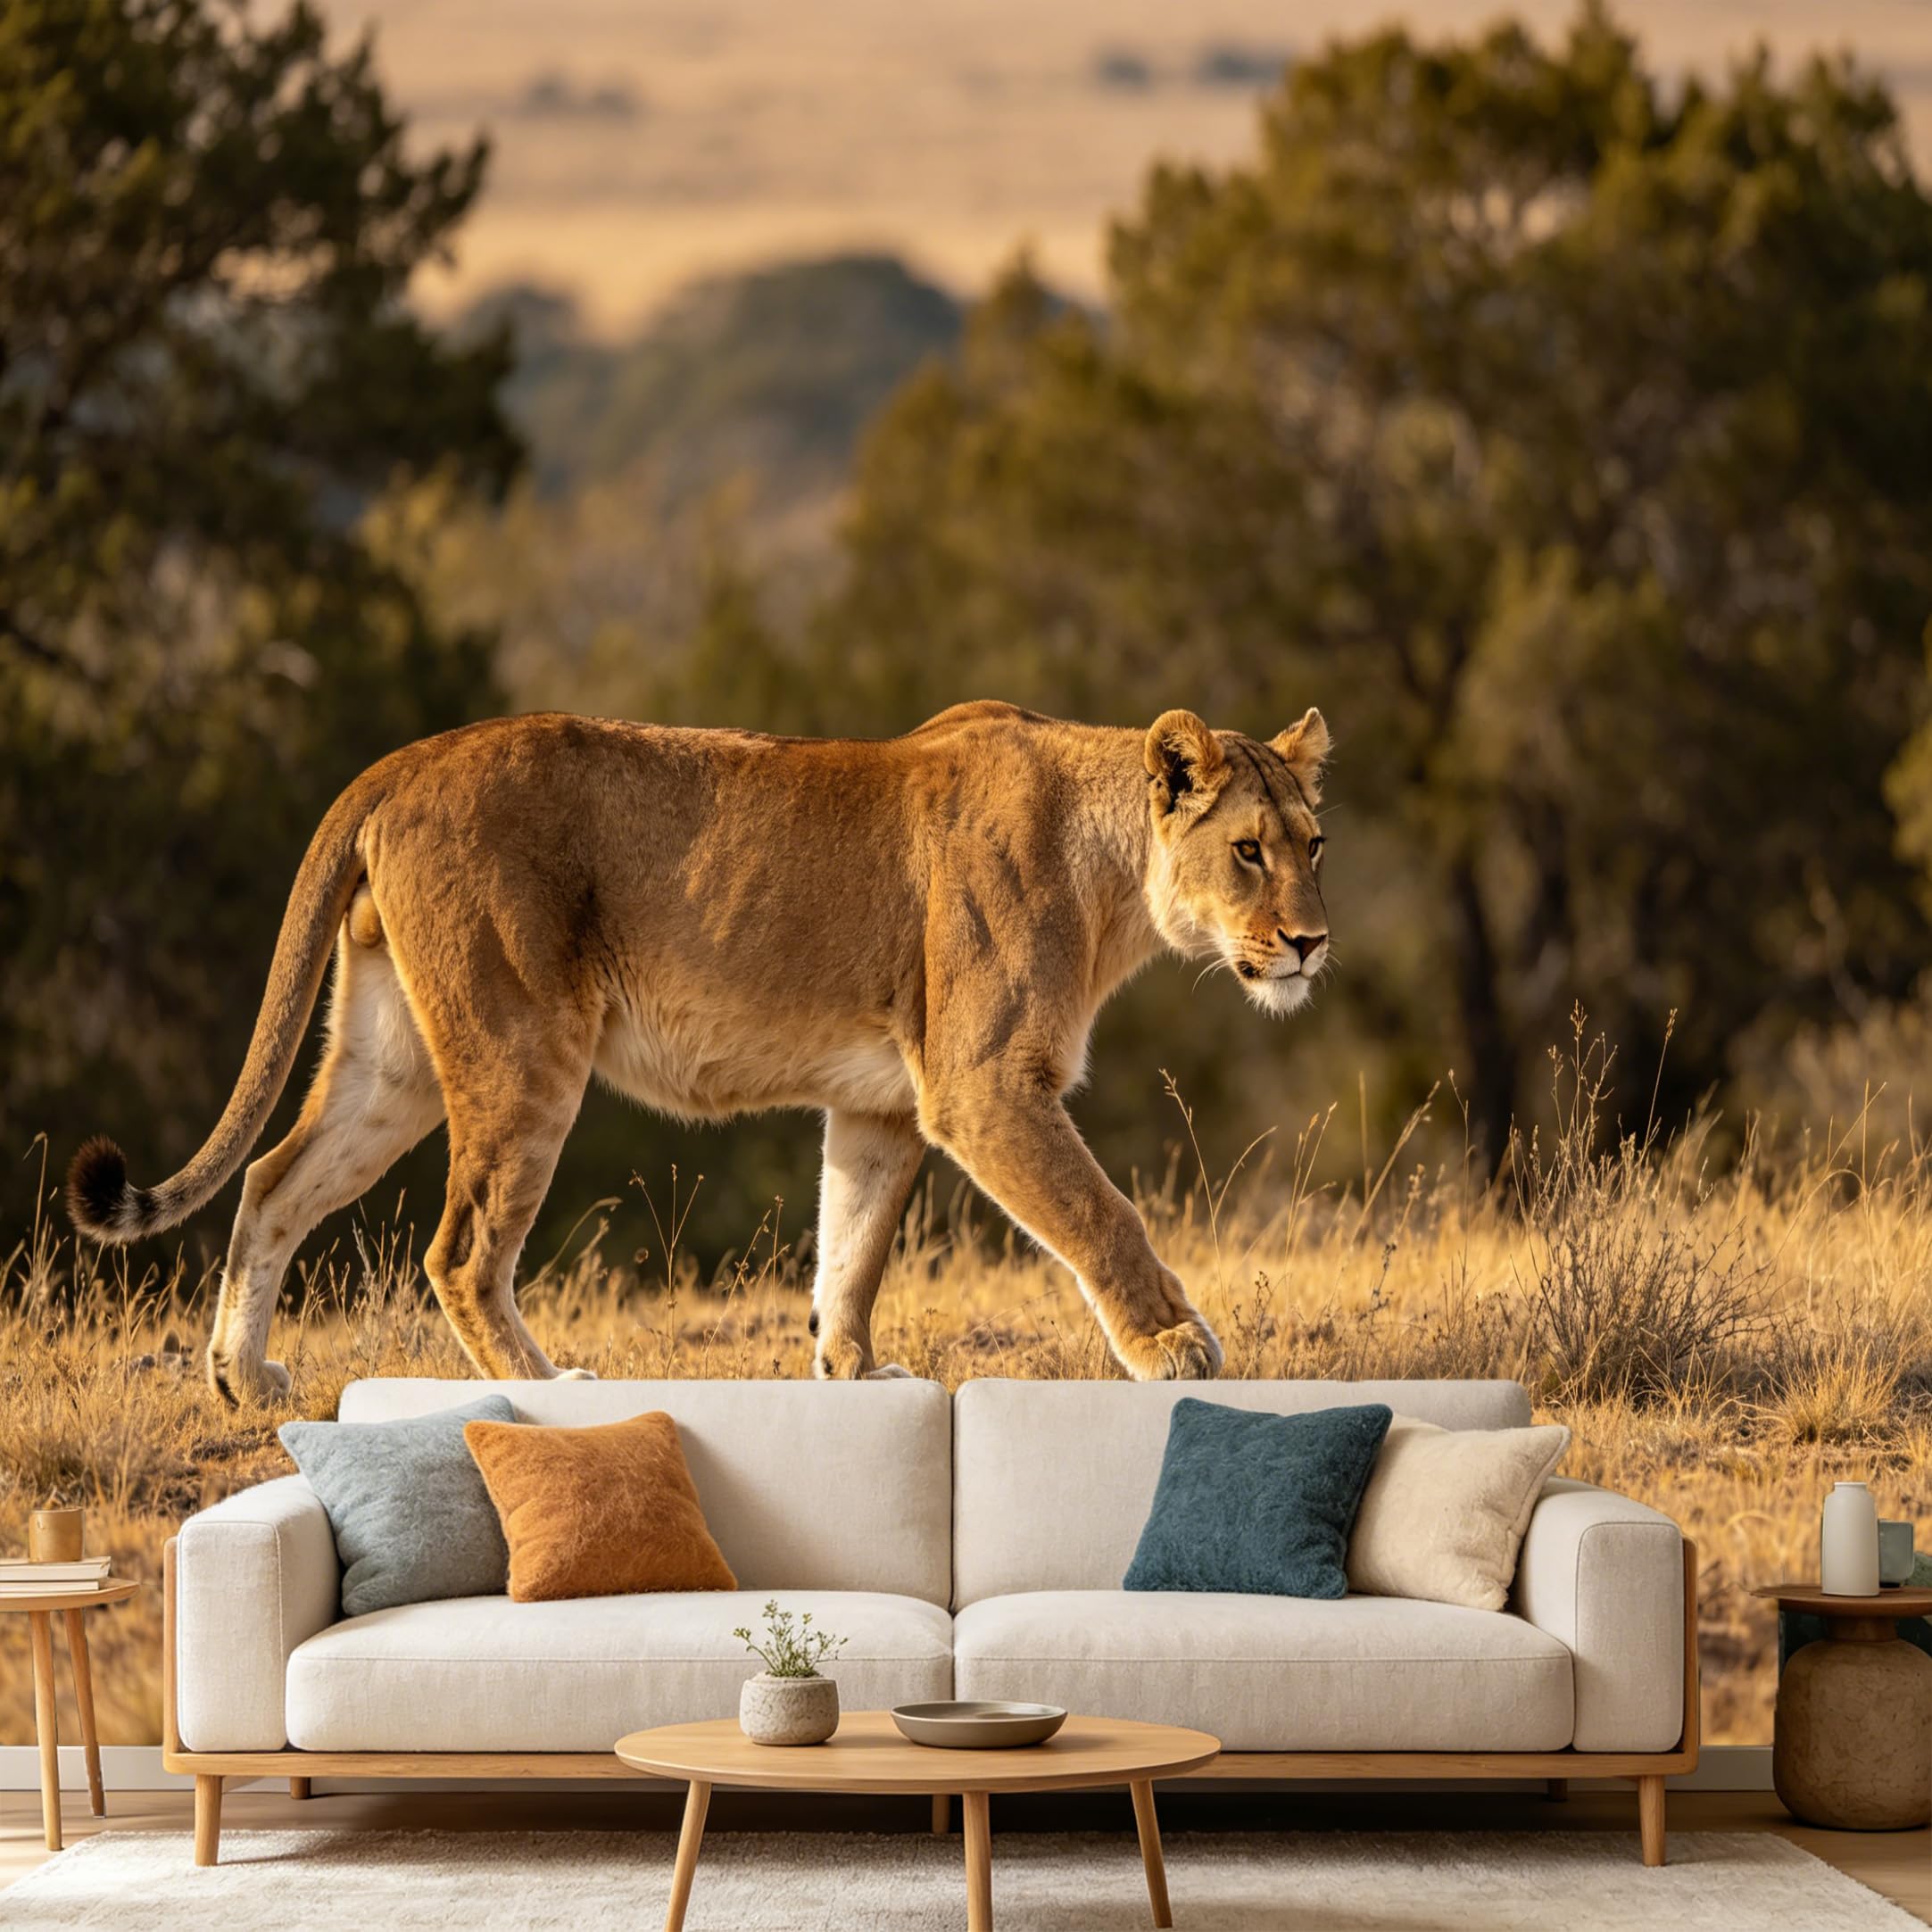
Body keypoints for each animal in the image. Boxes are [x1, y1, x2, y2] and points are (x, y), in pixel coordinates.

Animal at [66, 702, 1331, 1401]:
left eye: (1314, 844)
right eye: (1248, 850)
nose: (1312, 942)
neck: (1113, 880)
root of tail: (405, 758)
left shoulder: (882, 1104)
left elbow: (849, 1250)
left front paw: (850, 1372)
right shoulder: (983, 1088)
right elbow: (1099, 1212)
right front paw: (1173, 1343)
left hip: (396, 1060)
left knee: (274, 1179)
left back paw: (242, 1377)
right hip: (523, 1051)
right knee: (460, 1252)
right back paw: (547, 1393)